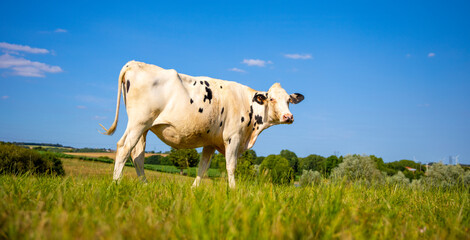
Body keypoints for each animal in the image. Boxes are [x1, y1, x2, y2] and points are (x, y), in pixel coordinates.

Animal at [99, 60, 304, 188]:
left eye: (288, 100)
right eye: (271, 99)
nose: (288, 116)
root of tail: (135, 63)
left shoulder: (210, 142)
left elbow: (203, 168)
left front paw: (193, 190)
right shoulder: (233, 137)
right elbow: (231, 166)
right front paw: (234, 190)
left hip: (145, 127)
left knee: (138, 155)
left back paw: (145, 185)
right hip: (139, 122)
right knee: (124, 148)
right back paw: (116, 183)